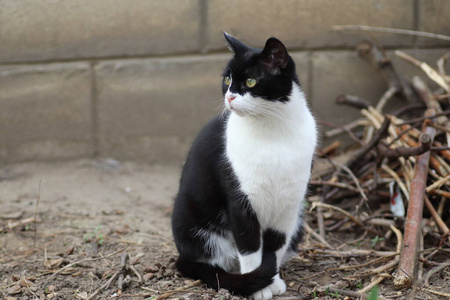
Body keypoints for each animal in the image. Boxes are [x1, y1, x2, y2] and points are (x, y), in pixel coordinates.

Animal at [171, 33, 316, 300]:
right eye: (227, 79)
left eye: (250, 81)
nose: (229, 96)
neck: (271, 132)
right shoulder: (241, 200)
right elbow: (250, 247)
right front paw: (258, 288)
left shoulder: (289, 205)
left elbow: (275, 247)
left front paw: (273, 281)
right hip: (190, 221)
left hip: (299, 221)